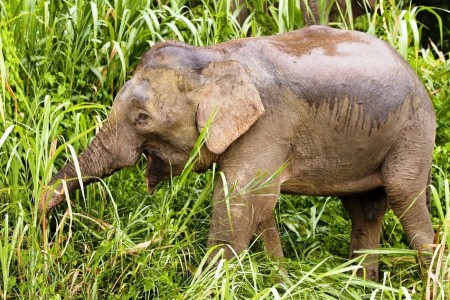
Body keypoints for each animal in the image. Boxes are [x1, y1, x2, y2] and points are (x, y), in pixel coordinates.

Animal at [41, 25, 436, 282]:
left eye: (142, 118)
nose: (46, 232)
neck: (214, 56)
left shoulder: (268, 125)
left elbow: (238, 203)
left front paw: (206, 287)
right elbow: (260, 207)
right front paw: (280, 282)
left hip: (414, 130)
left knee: (403, 194)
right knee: (364, 209)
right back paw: (361, 284)